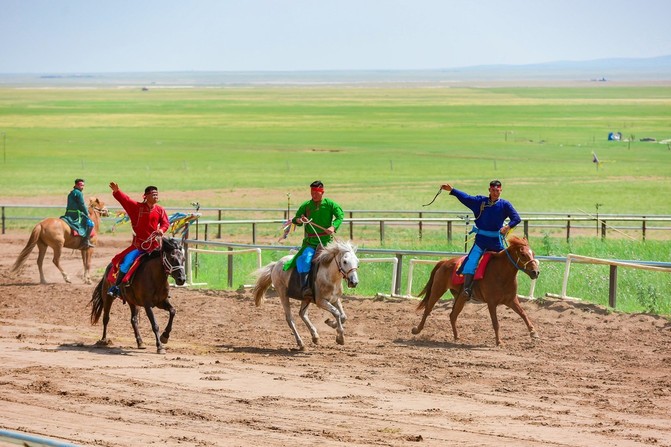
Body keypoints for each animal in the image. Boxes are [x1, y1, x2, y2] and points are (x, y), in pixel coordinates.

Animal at [412, 236, 544, 348]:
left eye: (533, 253)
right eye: (523, 254)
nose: (536, 272)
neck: (501, 274)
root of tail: (444, 262)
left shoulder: (511, 300)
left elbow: (523, 314)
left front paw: (533, 333)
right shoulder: (491, 303)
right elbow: (495, 322)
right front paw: (499, 342)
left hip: (461, 297)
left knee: (453, 315)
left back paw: (457, 336)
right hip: (437, 290)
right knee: (428, 309)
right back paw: (417, 330)